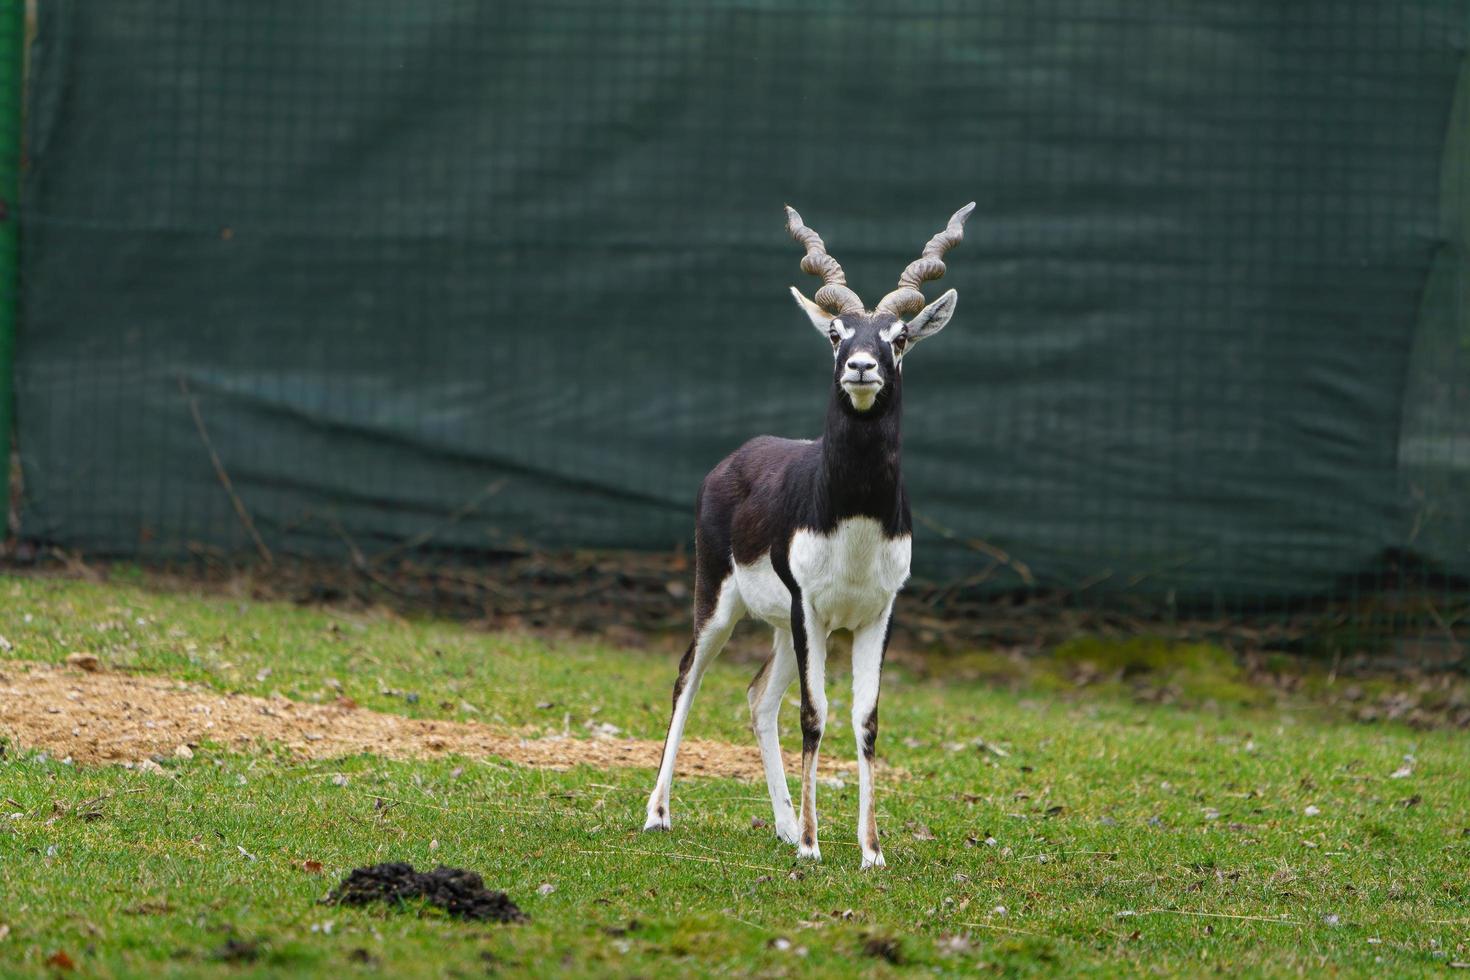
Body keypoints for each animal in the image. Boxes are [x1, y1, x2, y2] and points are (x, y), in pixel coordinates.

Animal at [646, 199, 976, 863]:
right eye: (835, 333)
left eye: (899, 337)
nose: (861, 367)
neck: (853, 521)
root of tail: (737, 456)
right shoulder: (812, 609)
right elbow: (814, 714)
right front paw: (811, 846)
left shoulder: (877, 613)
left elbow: (865, 720)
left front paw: (870, 850)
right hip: (721, 603)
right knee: (687, 678)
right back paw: (659, 814)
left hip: (781, 627)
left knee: (758, 698)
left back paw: (779, 822)